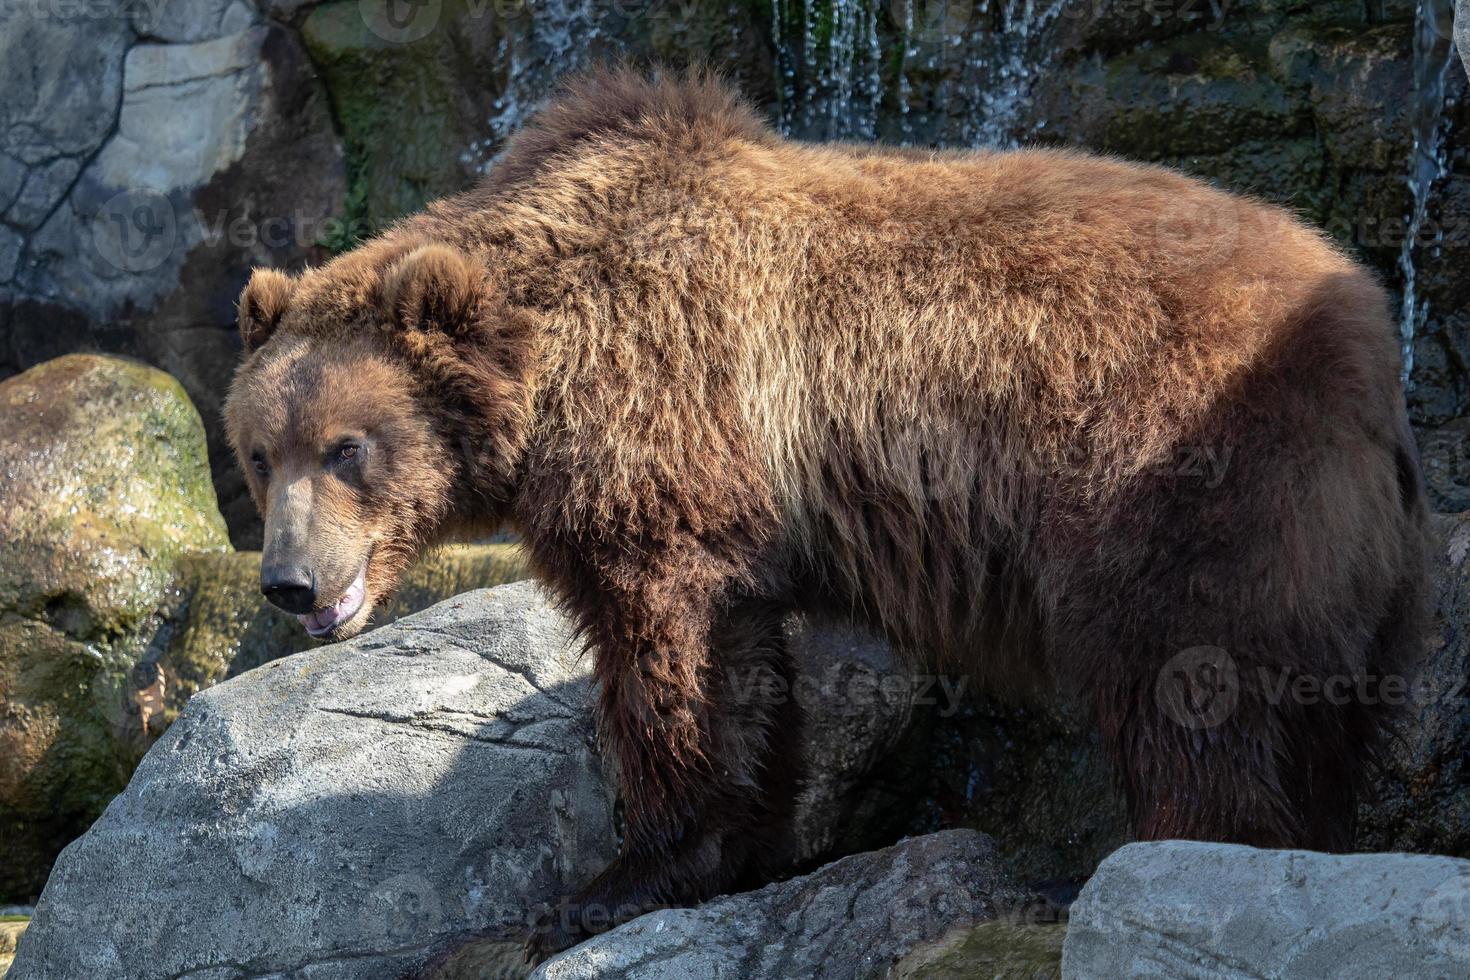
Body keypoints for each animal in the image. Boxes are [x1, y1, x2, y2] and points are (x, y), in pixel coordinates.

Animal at [223, 69, 1428, 957]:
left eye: (346, 446)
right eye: (255, 452)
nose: (289, 581)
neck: (544, 367)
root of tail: (1371, 331)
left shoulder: (668, 439)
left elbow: (672, 659)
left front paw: (615, 878)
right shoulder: (728, 502)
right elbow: (745, 665)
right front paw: (745, 842)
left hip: (1183, 478)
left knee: (1196, 683)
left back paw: (1187, 850)